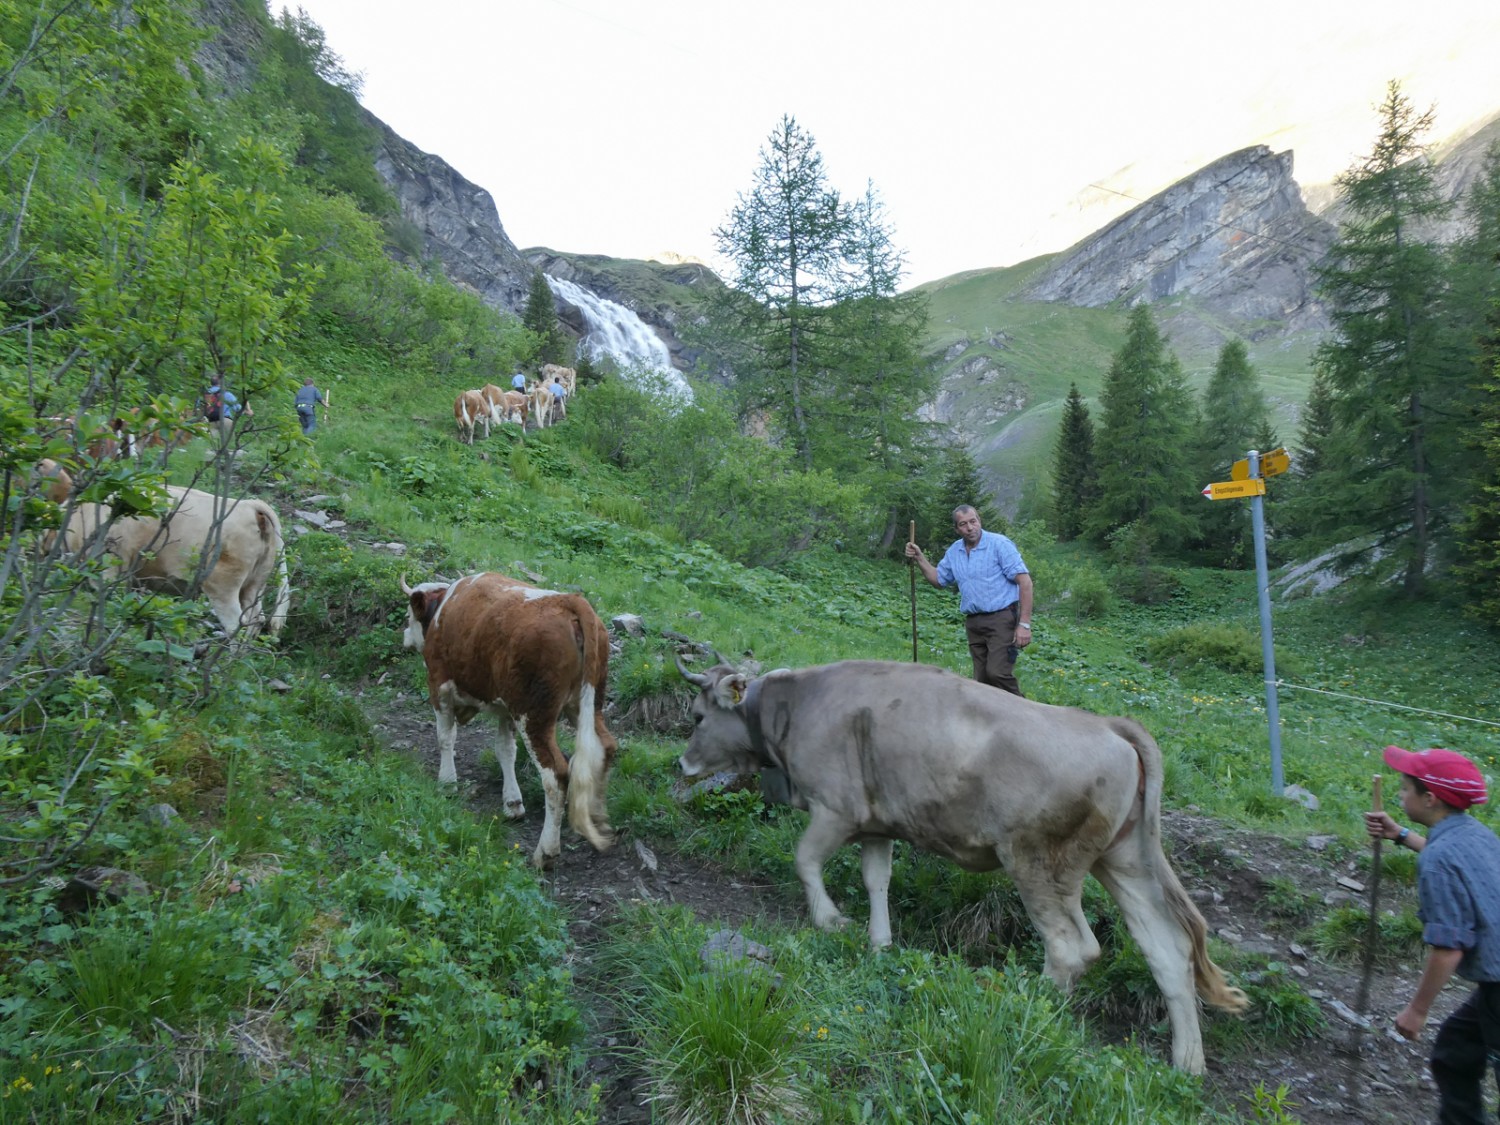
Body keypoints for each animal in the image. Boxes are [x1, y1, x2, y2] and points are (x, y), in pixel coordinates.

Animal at [62, 486, 289, 642]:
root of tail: (250, 505)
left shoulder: (110, 569)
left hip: (222, 585)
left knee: (236, 625)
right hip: (253, 585)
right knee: (255, 620)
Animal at [402, 573, 618, 870]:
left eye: (408, 614)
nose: (404, 637)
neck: (442, 609)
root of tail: (569, 602)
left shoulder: (439, 685)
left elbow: (446, 737)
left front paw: (447, 783)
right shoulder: (506, 709)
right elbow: (505, 750)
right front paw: (513, 803)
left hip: (535, 715)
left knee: (556, 775)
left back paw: (546, 852)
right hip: (586, 702)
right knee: (605, 746)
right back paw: (598, 819)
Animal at [678, 660, 1242, 1074]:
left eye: (698, 716)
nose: (681, 765)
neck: (796, 705)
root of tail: (1109, 724)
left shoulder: (836, 809)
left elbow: (804, 858)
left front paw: (830, 919)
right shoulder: (878, 823)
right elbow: (876, 879)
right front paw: (880, 943)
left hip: (1038, 860)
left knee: (1071, 947)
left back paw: (1025, 1011)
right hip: (1124, 859)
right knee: (1167, 949)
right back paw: (1186, 1063)